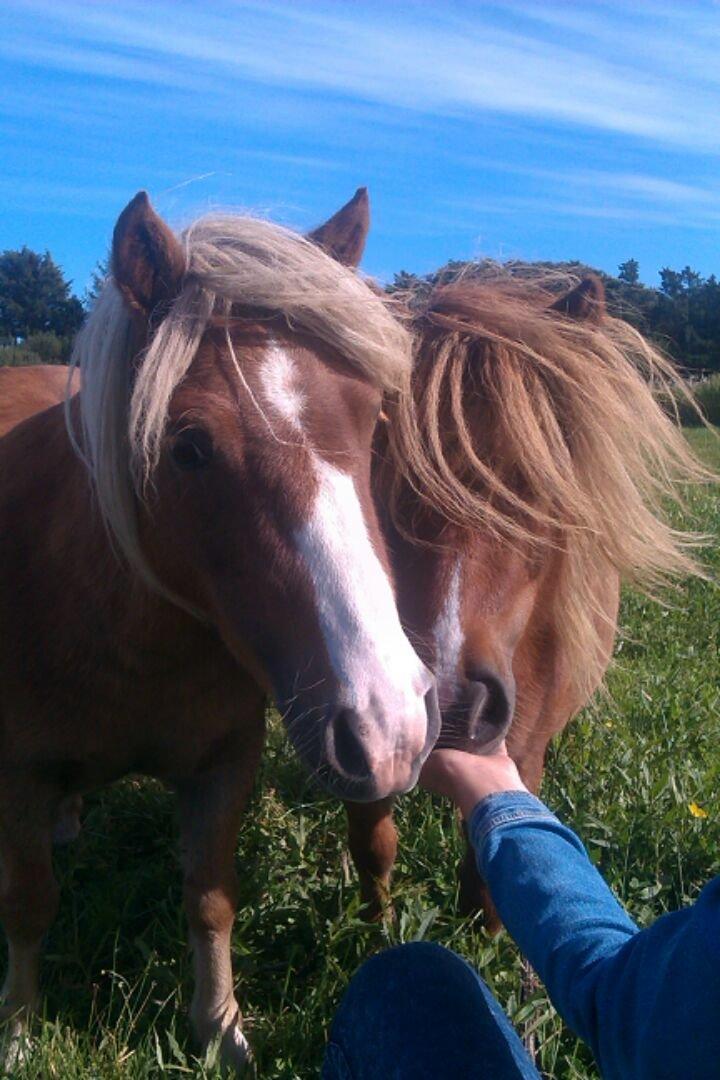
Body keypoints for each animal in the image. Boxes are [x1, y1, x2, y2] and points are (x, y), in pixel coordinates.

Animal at [0, 190, 442, 1067]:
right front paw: (20, 1033)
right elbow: (28, 905)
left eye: (374, 418)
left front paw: (220, 1028)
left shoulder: (224, 763)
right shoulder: (17, 776)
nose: (391, 726)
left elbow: (211, 897)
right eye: (189, 447)